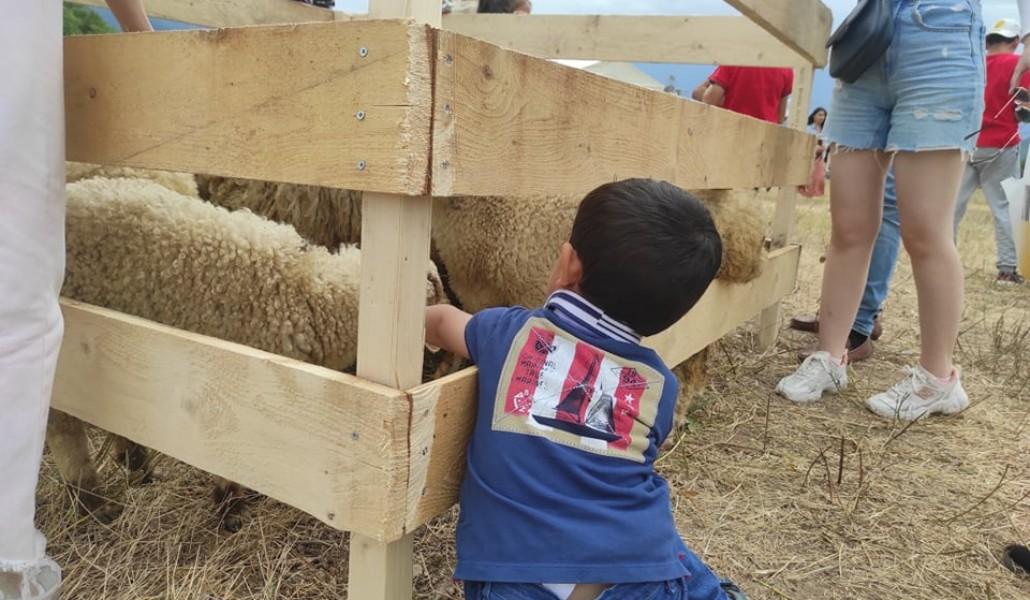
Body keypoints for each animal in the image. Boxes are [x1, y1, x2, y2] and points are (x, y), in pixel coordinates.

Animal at [53, 177, 445, 530]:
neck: (310, 294)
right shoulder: (235, 388)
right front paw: (229, 507)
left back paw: (136, 464)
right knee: (65, 431)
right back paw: (93, 501)